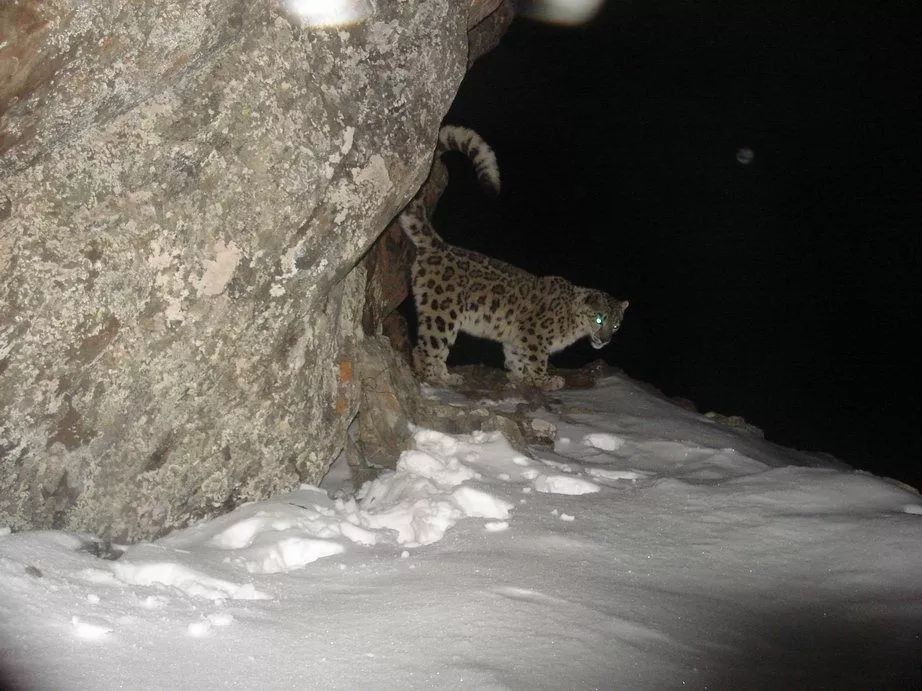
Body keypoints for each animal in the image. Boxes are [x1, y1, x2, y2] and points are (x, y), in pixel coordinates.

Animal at [398, 124, 628, 390]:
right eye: (599, 319)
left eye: (616, 324)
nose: (605, 339)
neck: (573, 325)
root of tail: (439, 245)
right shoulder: (535, 334)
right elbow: (537, 358)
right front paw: (545, 380)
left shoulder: (515, 339)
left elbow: (515, 356)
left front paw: (521, 377)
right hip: (442, 313)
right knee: (428, 347)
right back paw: (435, 379)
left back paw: (448, 376)